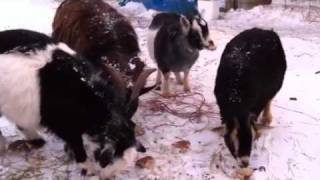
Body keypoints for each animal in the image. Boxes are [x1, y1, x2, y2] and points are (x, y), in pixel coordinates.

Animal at [214, 27, 286, 167]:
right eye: (233, 139)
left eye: (251, 138)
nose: (244, 162)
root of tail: (266, 30)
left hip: (276, 83)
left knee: (269, 99)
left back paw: (267, 118)